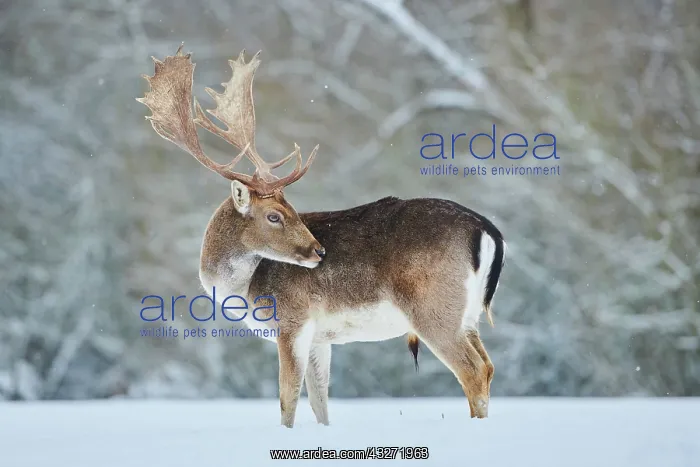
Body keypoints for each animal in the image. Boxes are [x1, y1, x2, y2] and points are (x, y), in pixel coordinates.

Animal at [137, 44, 506, 428]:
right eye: (275, 215)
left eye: (288, 211)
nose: (318, 251)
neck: (242, 289)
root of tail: (487, 230)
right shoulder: (321, 337)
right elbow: (320, 404)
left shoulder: (292, 320)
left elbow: (287, 400)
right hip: (469, 315)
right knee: (489, 365)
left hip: (433, 307)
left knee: (473, 370)